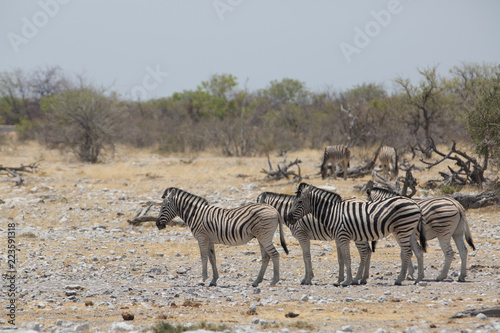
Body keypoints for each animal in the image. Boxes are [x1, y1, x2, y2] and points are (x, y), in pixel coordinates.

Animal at [156, 187, 290, 286]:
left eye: (164, 207)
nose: (157, 224)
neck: (196, 214)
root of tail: (274, 209)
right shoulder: (209, 240)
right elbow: (212, 259)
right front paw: (213, 280)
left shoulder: (202, 237)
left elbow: (203, 257)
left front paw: (202, 279)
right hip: (261, 237)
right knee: (266, 257)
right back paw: (256, 282)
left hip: (264, 236)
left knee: (275, 254)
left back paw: (274, 281)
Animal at [286, 183, 426, 284]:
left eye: (299, 202)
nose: (288, 218)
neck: (333, 213)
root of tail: (415, 203)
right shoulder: (339, 238)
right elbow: (343, 259)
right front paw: (344, 280)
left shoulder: (343, 237)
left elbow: (347, 258)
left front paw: (347, 281)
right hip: (409, 231)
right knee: (418, 251)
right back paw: (419, 278)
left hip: (402, 229)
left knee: (407, 252)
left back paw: (399, 279)